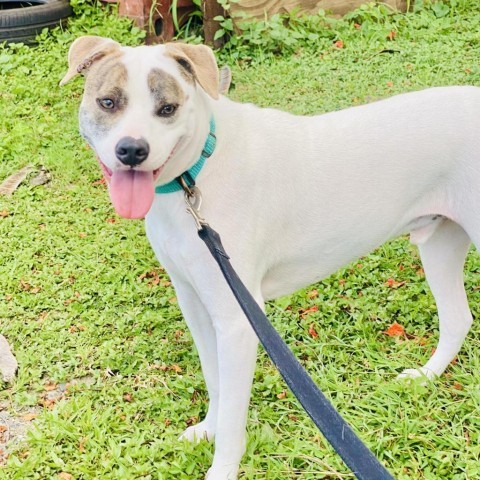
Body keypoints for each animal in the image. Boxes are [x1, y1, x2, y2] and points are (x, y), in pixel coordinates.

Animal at [62, 35, 478, 478]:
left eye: (168, 108)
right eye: (108, 102)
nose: (132, 150)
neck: (196, 176)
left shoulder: (238, 320)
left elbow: (233, 416)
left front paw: (222, 467)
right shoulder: (195, 301)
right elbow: (215, 380)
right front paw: (208, 428)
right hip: (440, 243)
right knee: (457, 319)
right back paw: (426, 376)